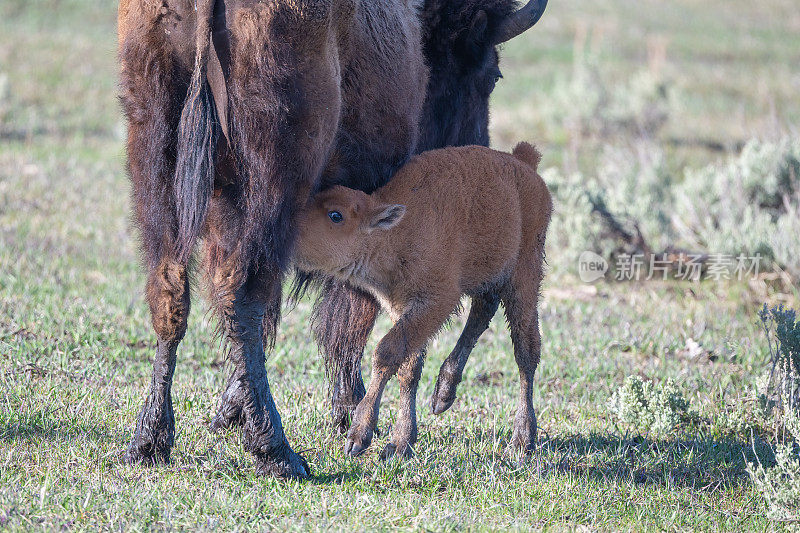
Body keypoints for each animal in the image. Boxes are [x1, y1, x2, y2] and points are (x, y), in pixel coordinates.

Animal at [296, 141, 552, 458]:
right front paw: (401, 442)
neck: (395, 232)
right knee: (483, 312)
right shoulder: (400, 306)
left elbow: (387, 351)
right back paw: (443, 395)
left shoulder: (437, 301)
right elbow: (409, 367)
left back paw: (523, 438)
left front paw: (359, 436)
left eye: (336, 215)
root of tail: (524, 163)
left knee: (525, 351)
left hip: (524, 278)